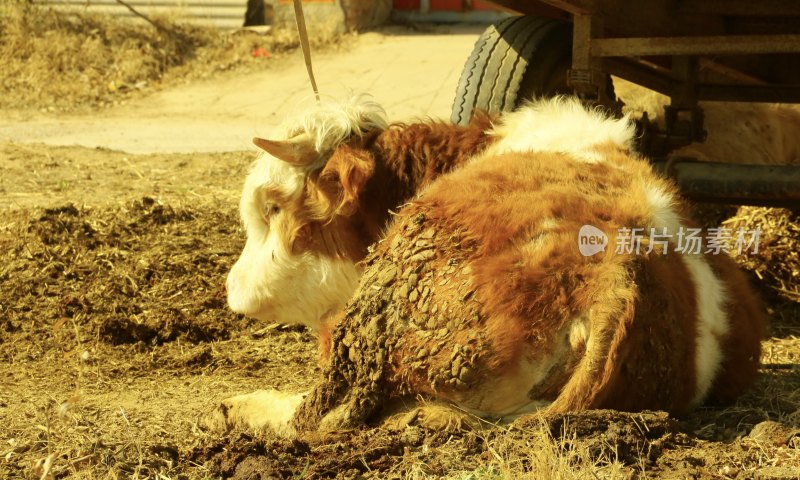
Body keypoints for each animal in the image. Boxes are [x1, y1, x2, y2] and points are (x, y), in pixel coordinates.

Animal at [216, 95, 764, 436]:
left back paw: (234, 409)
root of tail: (618, 272)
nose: (233, 289)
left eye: (272, 207)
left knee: (321, 415)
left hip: (373, 327)